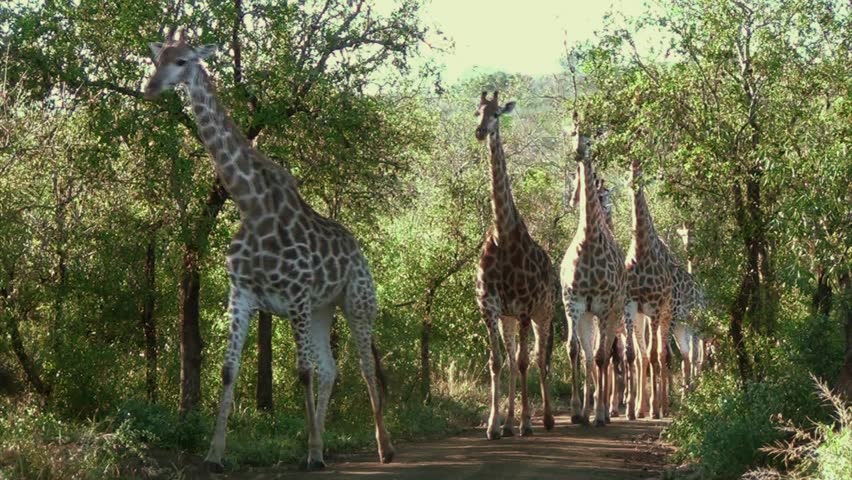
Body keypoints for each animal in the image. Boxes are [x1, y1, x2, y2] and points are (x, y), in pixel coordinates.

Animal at [143, 30, 393, 470]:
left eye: (183, 60)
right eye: (158, 59)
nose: (150, 88)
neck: (251, 205)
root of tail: (358, 250)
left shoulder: (295, 296)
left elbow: (301, 371)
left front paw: (312, 455)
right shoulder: (242, 294)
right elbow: (228, 370)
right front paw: (214, 453)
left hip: (357, 302)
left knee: (363, 367)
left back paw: (381, 447)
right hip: (323, 309)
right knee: (332, 369)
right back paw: (322, 441)